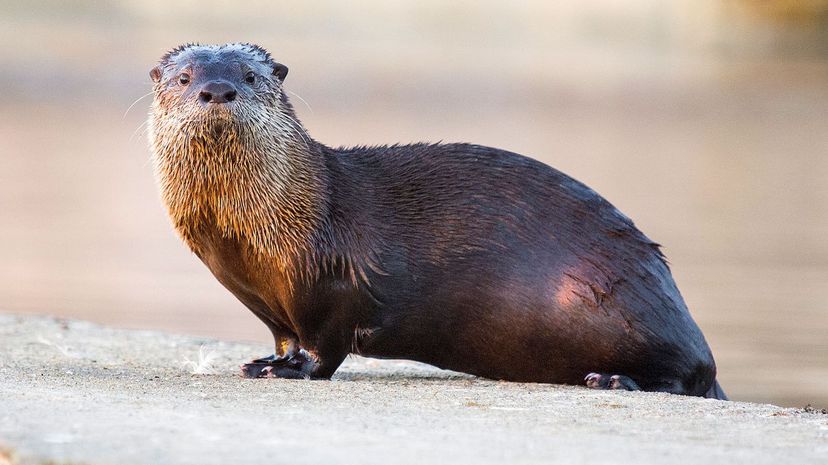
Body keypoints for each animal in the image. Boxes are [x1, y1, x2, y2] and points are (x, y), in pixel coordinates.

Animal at [148, 43, 727, 399]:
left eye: (249, 76)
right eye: (184, 77)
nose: (217, 89)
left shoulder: (336, 277)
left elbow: (324, 345)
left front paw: (293, 371)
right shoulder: (268, 299)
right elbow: (285, 335)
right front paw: (265, 362)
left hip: (633, 303)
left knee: (693, 375)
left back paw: (612, 380)